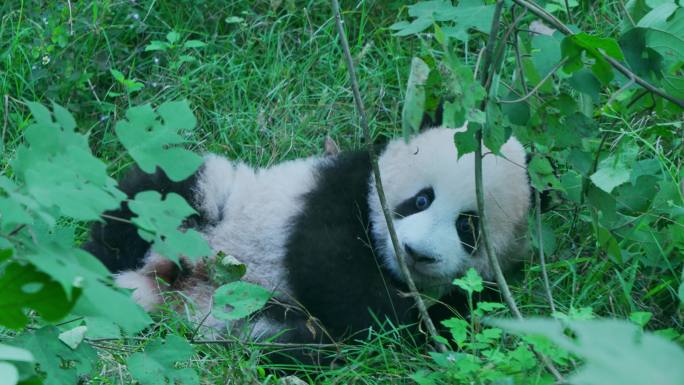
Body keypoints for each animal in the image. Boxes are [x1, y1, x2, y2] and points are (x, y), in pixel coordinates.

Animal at [83, 123, 532, 354]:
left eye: (467, 227)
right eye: (422, 198)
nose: (415, 252)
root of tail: (174, 284)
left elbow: (456, 317)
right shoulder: (342, 188)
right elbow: (328, 267)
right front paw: (385, 308)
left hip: (238, 317)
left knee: (292, 342)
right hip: (209, 200)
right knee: (153, 193)